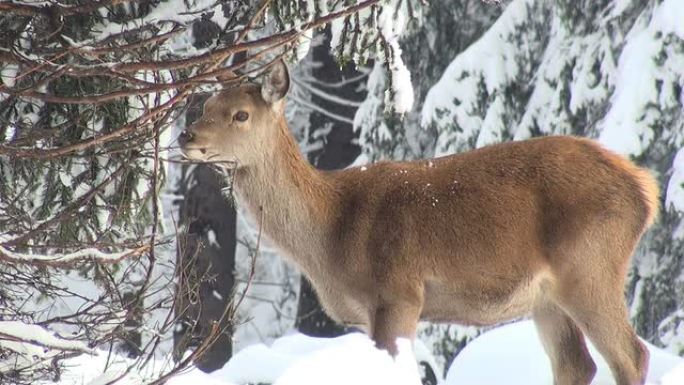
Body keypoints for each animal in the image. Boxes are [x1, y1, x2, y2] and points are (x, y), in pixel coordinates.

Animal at [179, 57, 660, 384]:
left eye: (241, 115)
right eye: (206, 104)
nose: (187, 135)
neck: (331, 235)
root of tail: (644, 190)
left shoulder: (399, 292)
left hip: (590, 266)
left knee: (631, 355)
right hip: (547, 298)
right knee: (577, 365)